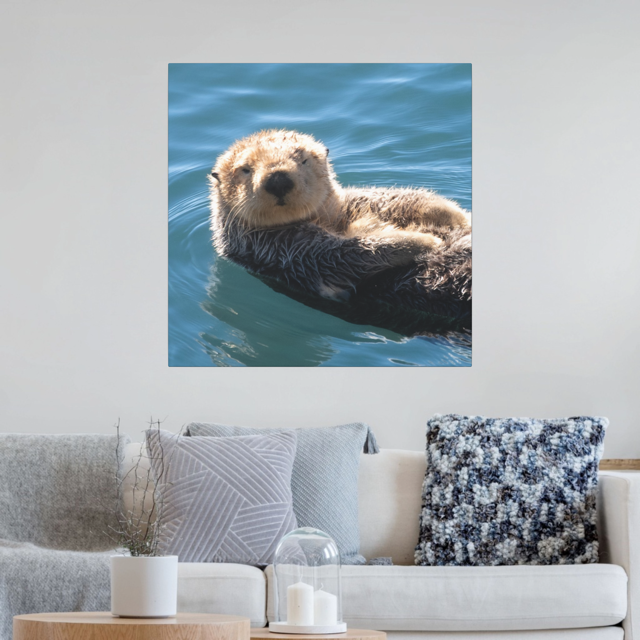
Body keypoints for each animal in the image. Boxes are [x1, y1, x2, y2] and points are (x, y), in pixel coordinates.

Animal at [208, 129, 471, 331]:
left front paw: (454, 215)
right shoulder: (284, 250)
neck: (324, 220)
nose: (278, 180)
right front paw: (425, 241)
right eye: (245, 169)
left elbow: (387, 199)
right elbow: (345, 253)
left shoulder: (345, 206)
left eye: (303, 160)